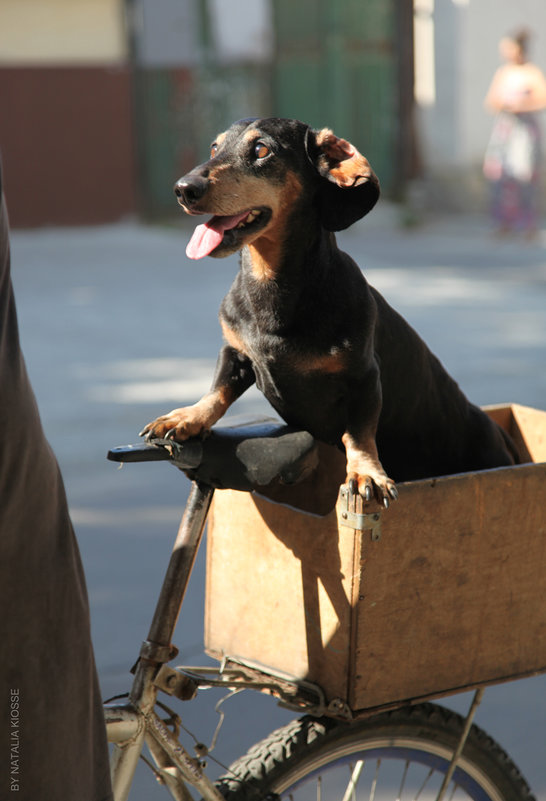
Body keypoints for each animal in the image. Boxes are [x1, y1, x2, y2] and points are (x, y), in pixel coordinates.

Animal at [139, 117, 516, 506]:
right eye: (215, 147)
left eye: (261, 149)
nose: (183, 189)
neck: (272, 288)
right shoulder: (235, 352)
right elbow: (217, 390)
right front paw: (187, 417)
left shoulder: (364, 377)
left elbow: (360, 433)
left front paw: (366, 473)